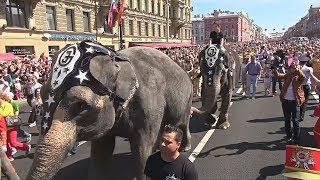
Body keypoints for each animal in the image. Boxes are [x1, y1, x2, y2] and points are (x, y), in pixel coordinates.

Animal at [26, 41, 192, 180]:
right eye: (42, 96)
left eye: (82, 105)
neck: (117, 60)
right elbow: (101, 150)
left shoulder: (150, 104)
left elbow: (142, 150)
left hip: (186, 98)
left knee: (182, 123)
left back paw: (185, 147)